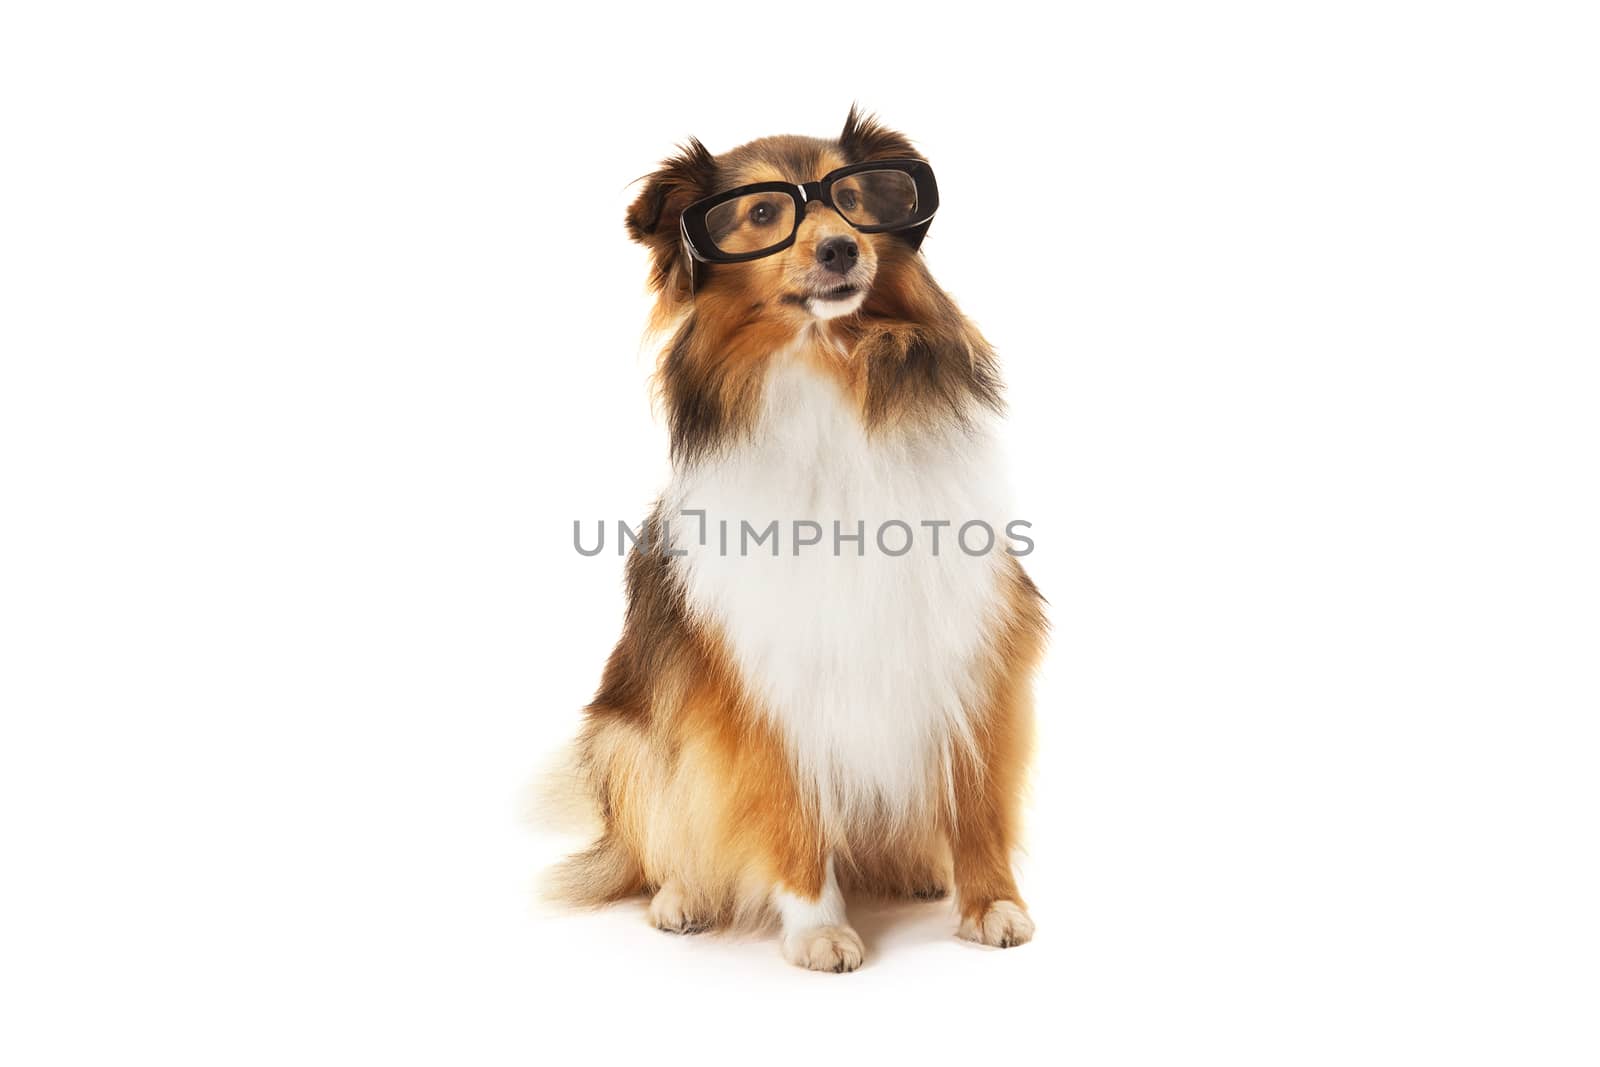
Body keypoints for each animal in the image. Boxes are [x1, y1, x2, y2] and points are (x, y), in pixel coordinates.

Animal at [550, 110, 1049, 979]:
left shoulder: (968, 631)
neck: (824, 369)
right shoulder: (758, 675)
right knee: (654, 844)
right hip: (625, 736)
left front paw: (991, 902)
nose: (843, 249)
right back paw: (682, 895)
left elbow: (979, 792)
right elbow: (788, 808)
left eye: (852, 199)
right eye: (762, 214)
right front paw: (818, 928)